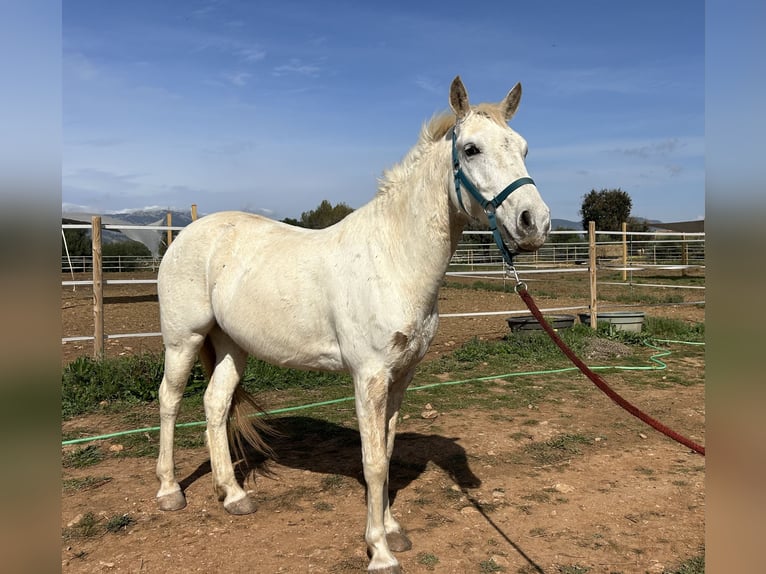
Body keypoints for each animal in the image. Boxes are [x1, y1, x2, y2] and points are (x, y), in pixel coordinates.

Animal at [156, 77, 552, 574]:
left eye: (524, 148)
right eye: (472, 149)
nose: (534, 223)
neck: (395, 258)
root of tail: (186, 234)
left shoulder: (401, 377)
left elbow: (387, 449)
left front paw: (394, 530)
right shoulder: (369, 377)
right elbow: (373, 462)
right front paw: (379, 551)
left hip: (231, 345)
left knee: (215, 404)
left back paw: (233, 495)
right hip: (183, 340)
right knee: (170, 401)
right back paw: (170, 491)